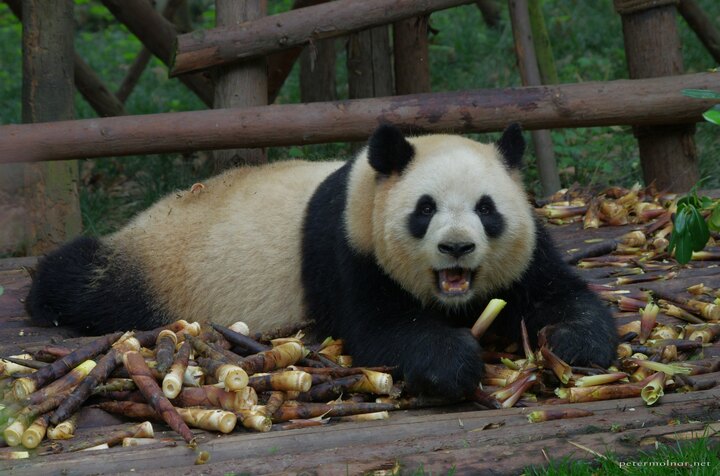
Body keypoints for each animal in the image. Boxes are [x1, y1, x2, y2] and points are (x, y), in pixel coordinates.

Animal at [25, 124, 616, 400]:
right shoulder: (349, 248)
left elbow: (556, 293)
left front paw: (575, 345)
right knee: (91, 280)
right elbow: (383, 327)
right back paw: (42, 293)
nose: (456, 247)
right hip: (159, 264)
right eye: (424, 209)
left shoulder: (525, 253)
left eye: (487, 209)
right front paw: (454, 364)